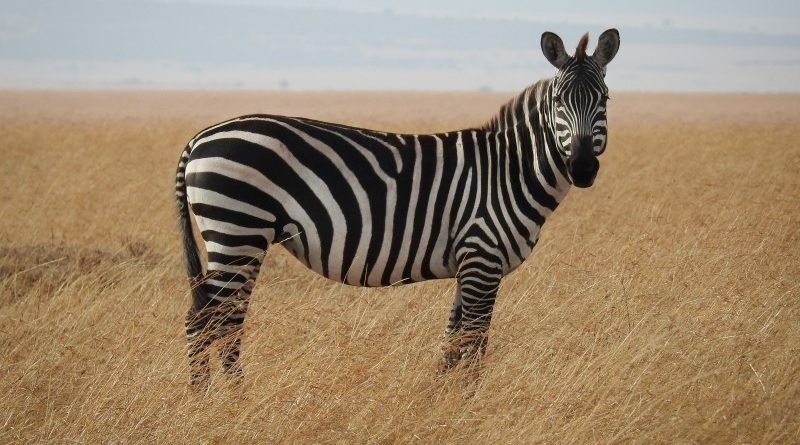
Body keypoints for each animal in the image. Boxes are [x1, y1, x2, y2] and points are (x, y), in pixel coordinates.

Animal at [176, 29, 620, 387]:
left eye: (605, 99)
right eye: (559, 101)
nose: (582, 167)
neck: (509, 171)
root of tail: (200, 137)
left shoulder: (468, 264)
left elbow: (451, 343)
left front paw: (439, 400)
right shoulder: (482, 257)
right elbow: (474, 343)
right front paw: (470, 402)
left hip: (241, 238)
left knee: (218, 319)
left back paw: (217, 397)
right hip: (238, 230)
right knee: (210, 321)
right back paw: (222, 401)